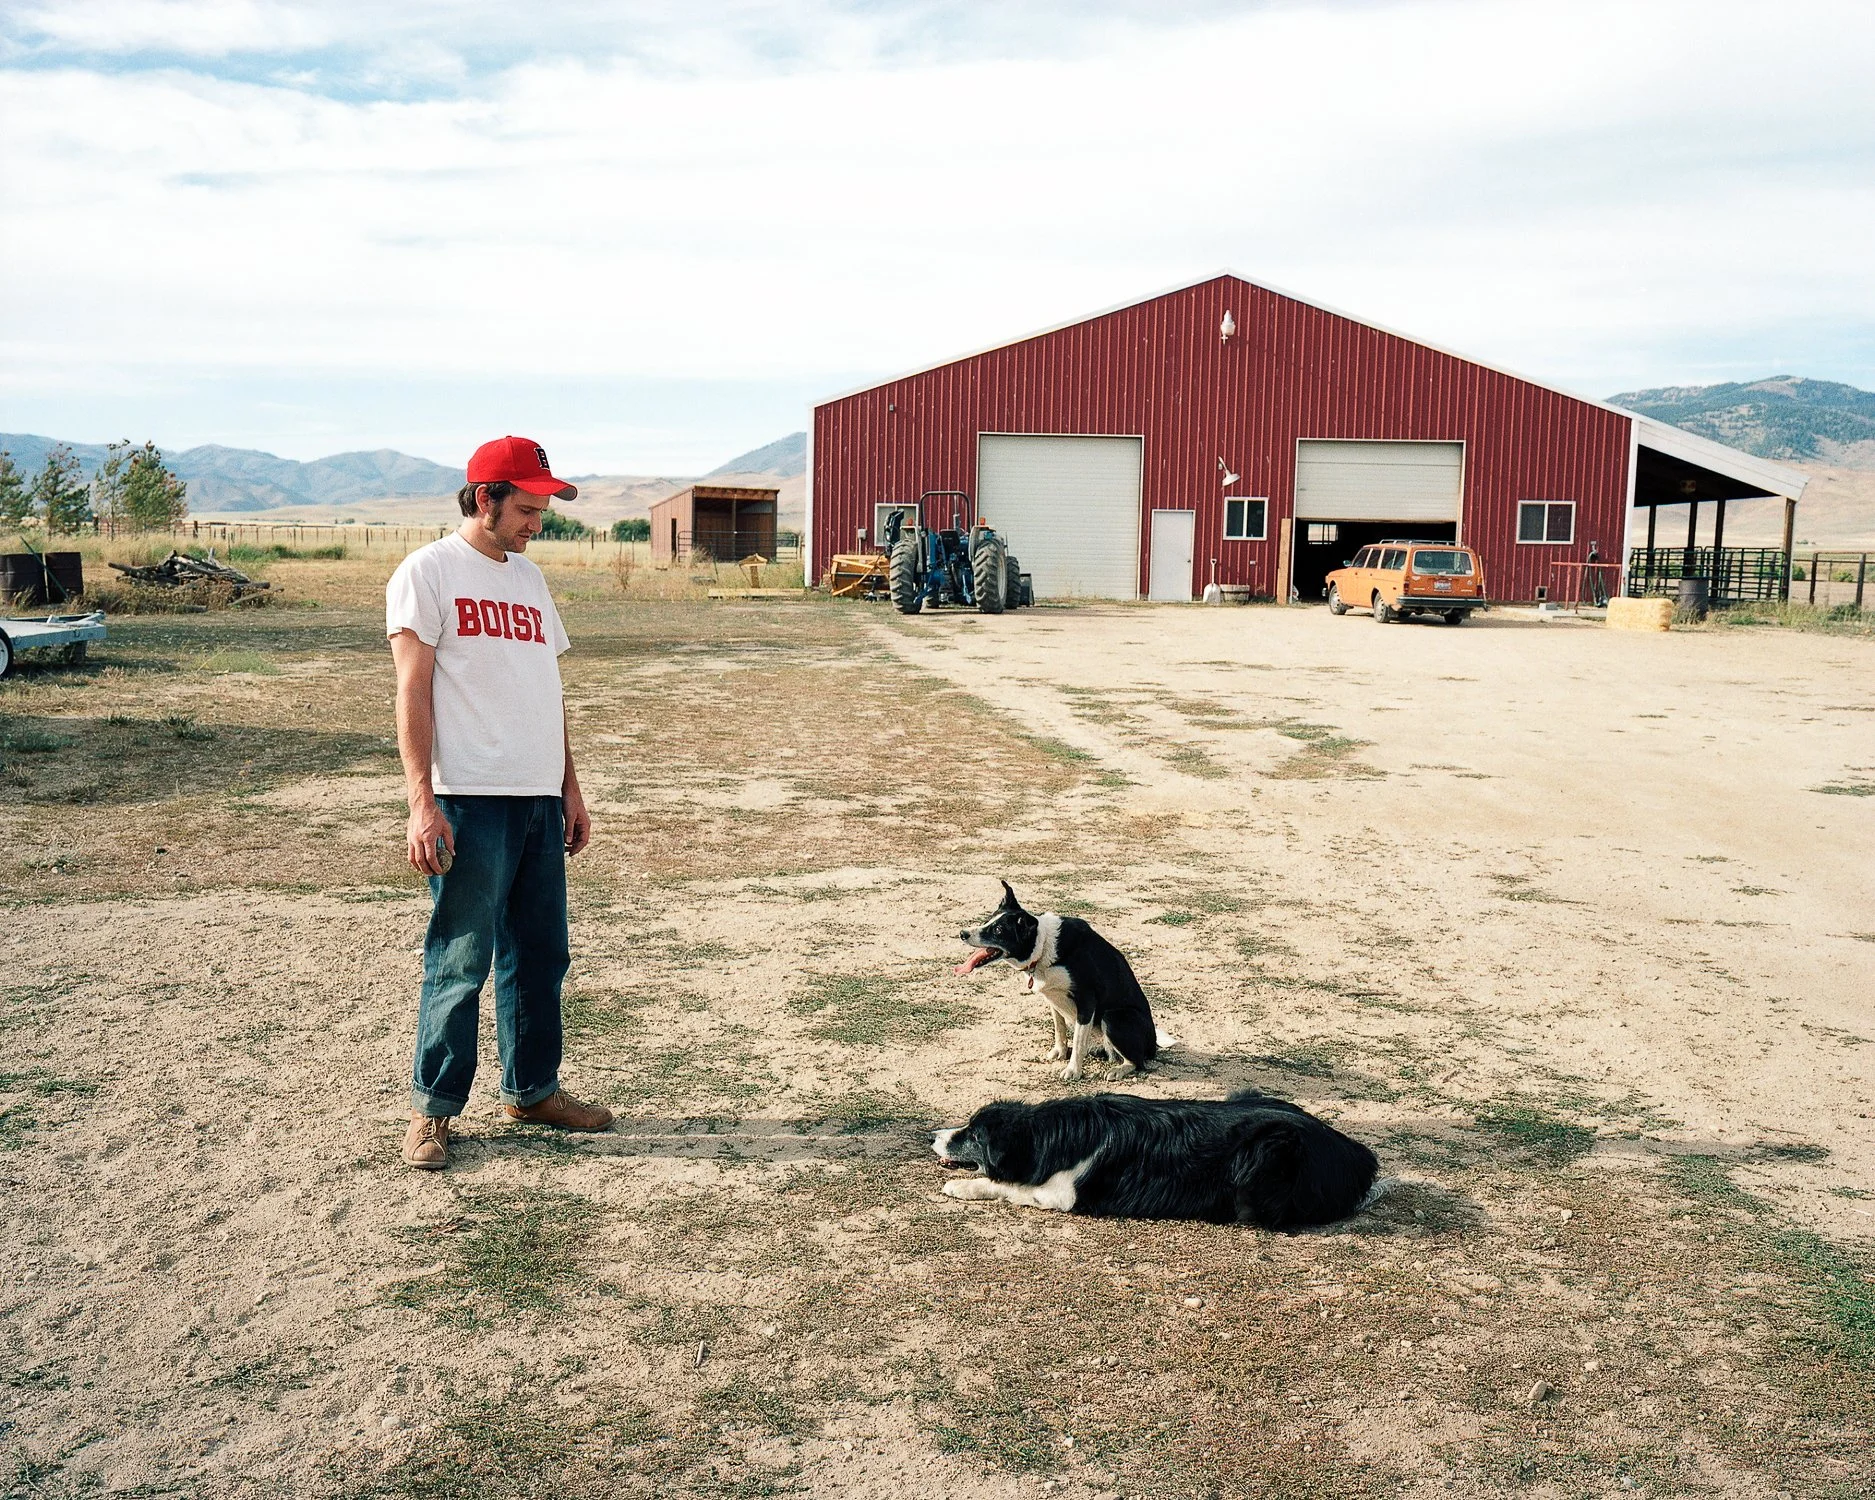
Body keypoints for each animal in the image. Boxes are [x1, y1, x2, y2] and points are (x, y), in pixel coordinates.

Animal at [932, 1089, 1379, 1230]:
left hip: (1267, 1150)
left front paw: (960, 1186)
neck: (1047, 1133)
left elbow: (1006, 1185)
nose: (931, 1135)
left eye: (972, 1135)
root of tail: (1357, 1155)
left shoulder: (1062, 1194)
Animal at [956, 881, 1164, 1080]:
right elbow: (1060, 1029)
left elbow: (1078, 1042)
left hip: (1114, 1016)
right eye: (987, 921)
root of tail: (1153, 1045)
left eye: (998, 930)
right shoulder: (1053, 998)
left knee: (1137, 1061)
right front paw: (1060, 1052)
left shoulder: (1087, 1000)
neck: (1043, 948)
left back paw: (1118, 1070)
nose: (962, 934)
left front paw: (1073, 1071)